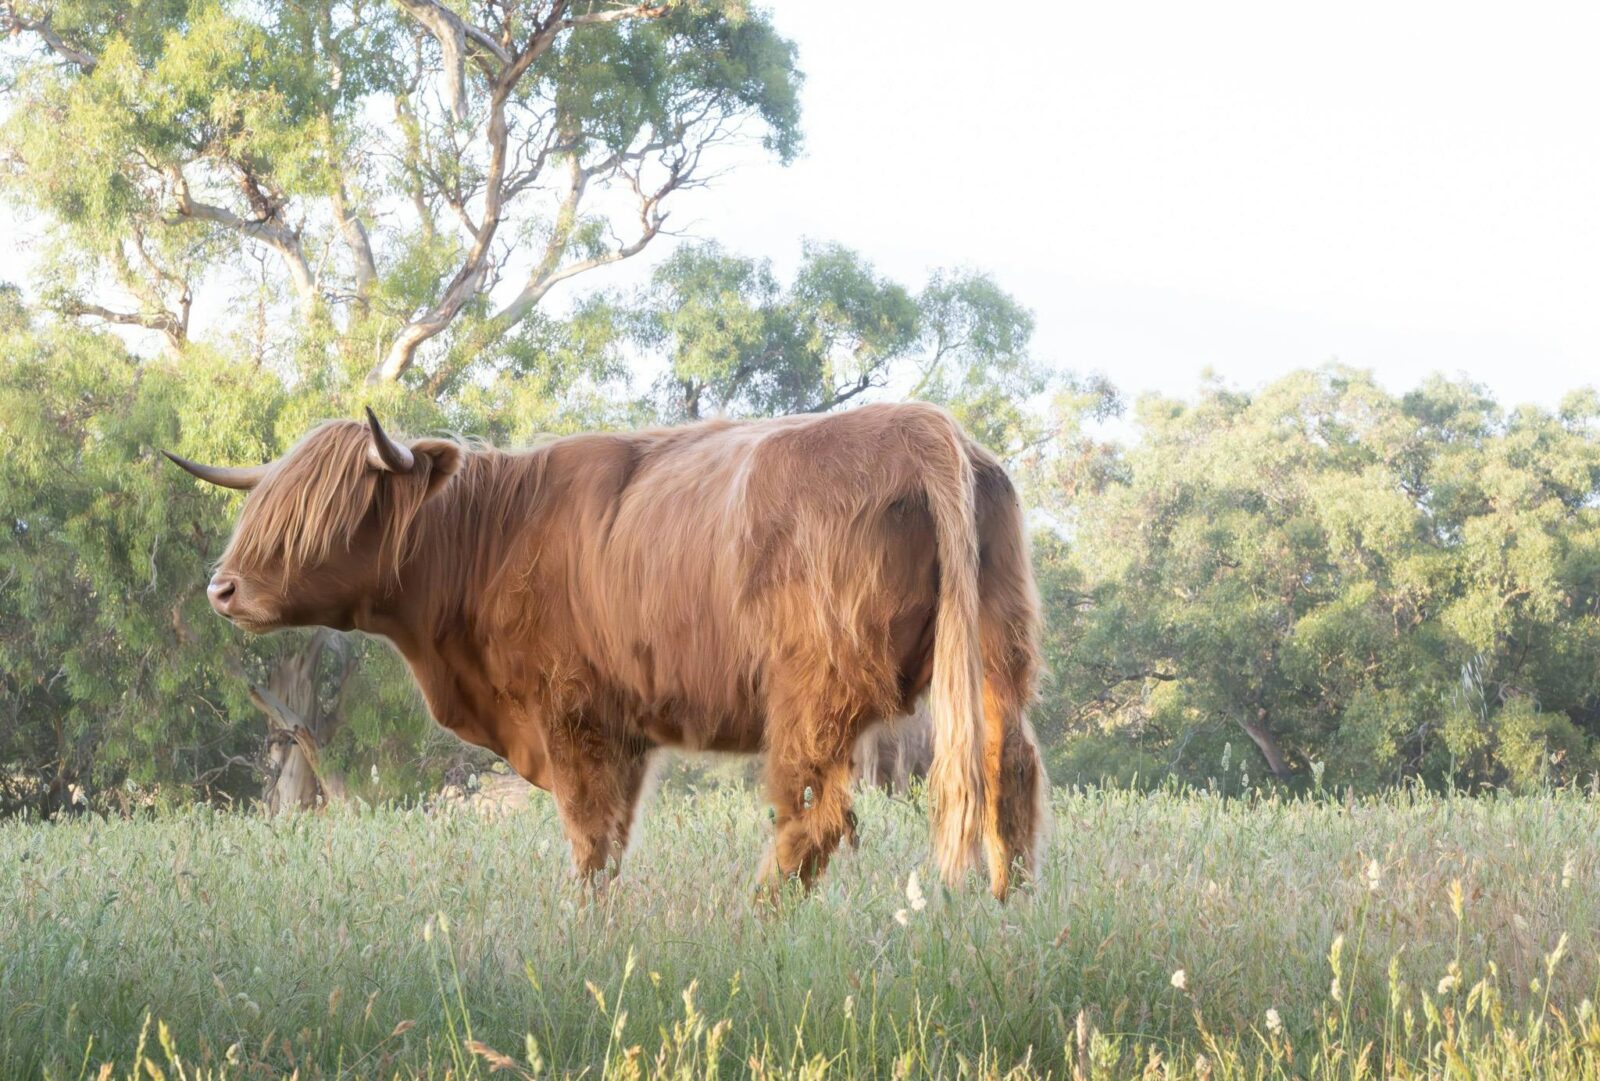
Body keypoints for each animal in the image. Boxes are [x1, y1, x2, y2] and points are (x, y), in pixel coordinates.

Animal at [166, 403, 1048, 897]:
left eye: (325, 514)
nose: (223, 589)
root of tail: (926, 428)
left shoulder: (575, 714)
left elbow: (590, 837)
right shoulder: (625, 729)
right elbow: (613, 837)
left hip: (813, 690)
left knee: (811, 813)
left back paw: (754, 917)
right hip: (997, 651)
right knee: (1008, 770)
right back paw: (1008, 905)